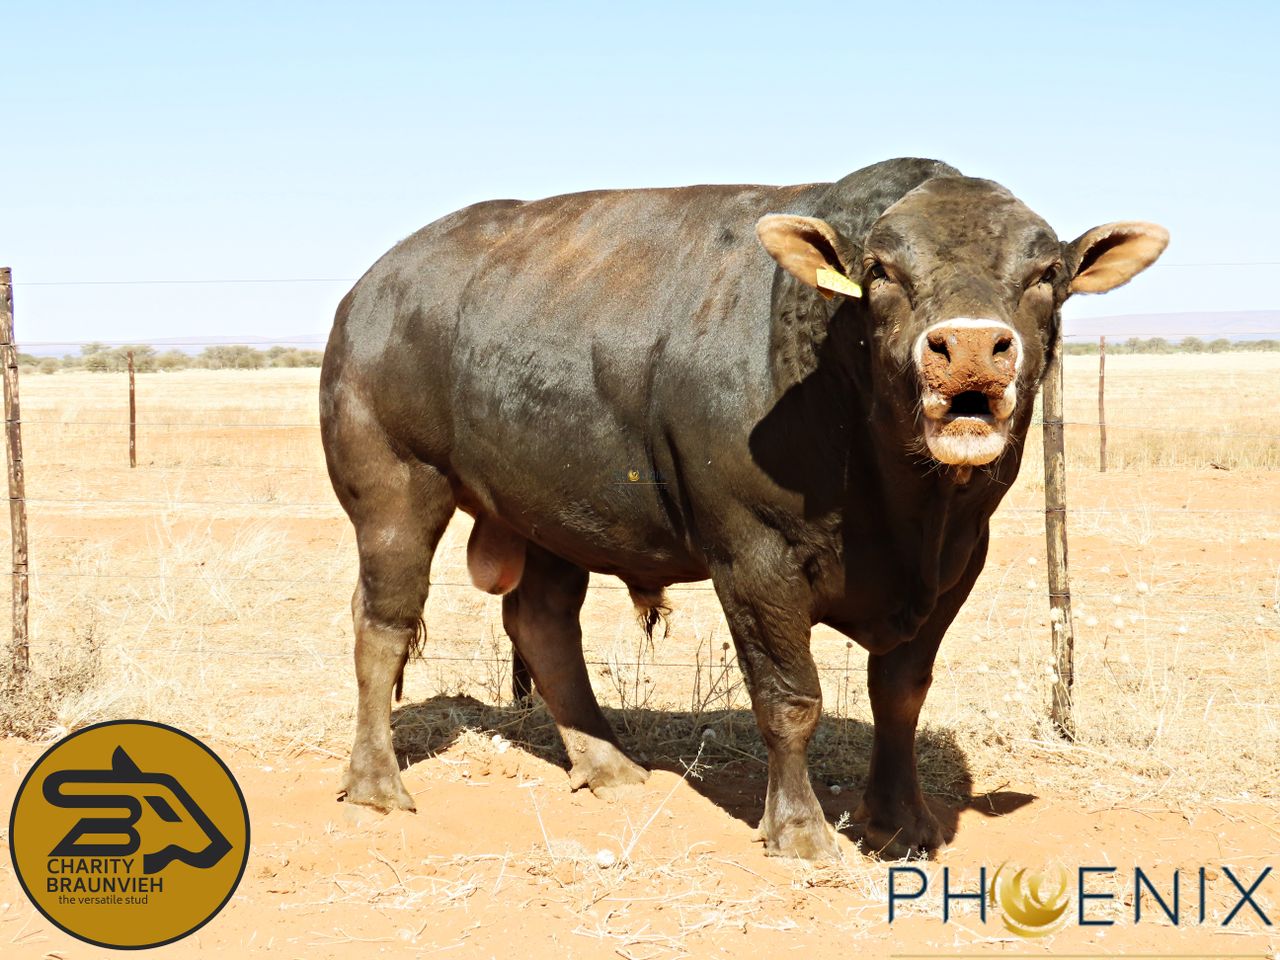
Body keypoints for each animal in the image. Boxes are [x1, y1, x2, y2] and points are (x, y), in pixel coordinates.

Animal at [320, 158, 1167, 859]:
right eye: (881, 271)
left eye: (1045, 270)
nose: (965, 348)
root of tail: (374, 284)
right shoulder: (754, 557)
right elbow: (790, 697)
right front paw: (799, 830)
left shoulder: (958, 564)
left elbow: (901, 695)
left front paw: (901, 820)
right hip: (396, 489)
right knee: (382, 627)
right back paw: (378, 784)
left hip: (552, 512)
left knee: (543, 622)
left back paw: (607, 763)